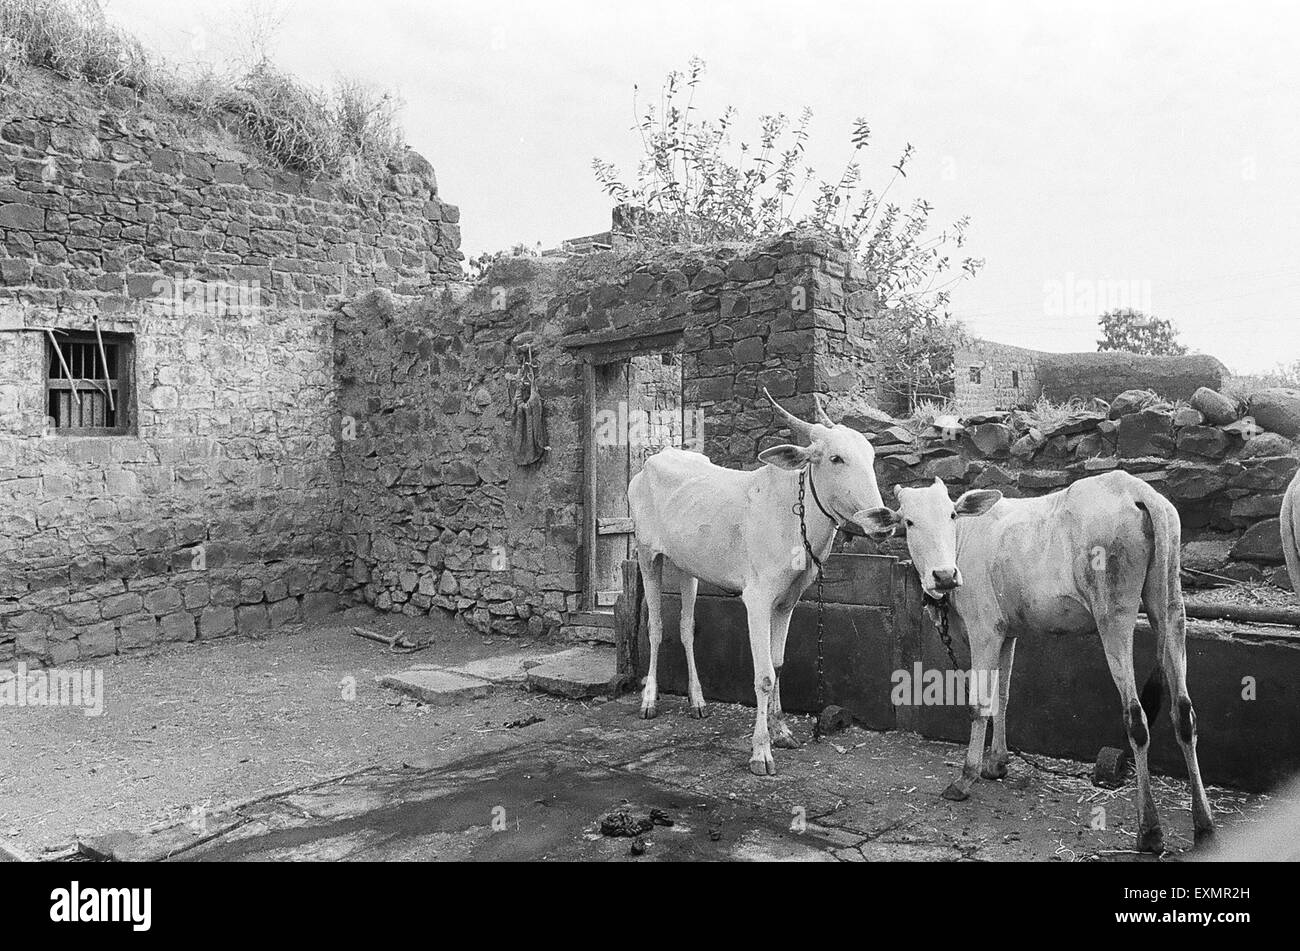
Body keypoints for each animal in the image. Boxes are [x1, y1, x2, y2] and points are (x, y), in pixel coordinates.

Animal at [626, 389, 889, 774]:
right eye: (836, 458)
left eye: (871, 457)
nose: (882, 519)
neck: (794, 515)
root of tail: (652, 462)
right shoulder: (758, 600)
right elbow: (763, 676)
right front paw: (761, 751)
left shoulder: (788, 601)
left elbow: (778, 666)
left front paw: (782, 732)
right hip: (648, 555)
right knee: (657, 626)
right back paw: (649, 701)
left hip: (688, 567)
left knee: (686, 626)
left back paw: (697, 701)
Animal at [863, 472, 1216, 852]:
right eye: (909, 522)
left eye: (952, 515)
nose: (944, 575)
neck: (963, 541)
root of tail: (1137, 491)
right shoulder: (1007, 632)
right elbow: (1002, 698)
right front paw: (996, 764)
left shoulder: (983, 628)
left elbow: (978, 703)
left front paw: (966, 777)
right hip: (1171, 607)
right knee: (1184, 713)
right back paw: (1203, 824)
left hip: (1114, 614)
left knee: (1136, 718)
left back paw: (1149, 830)